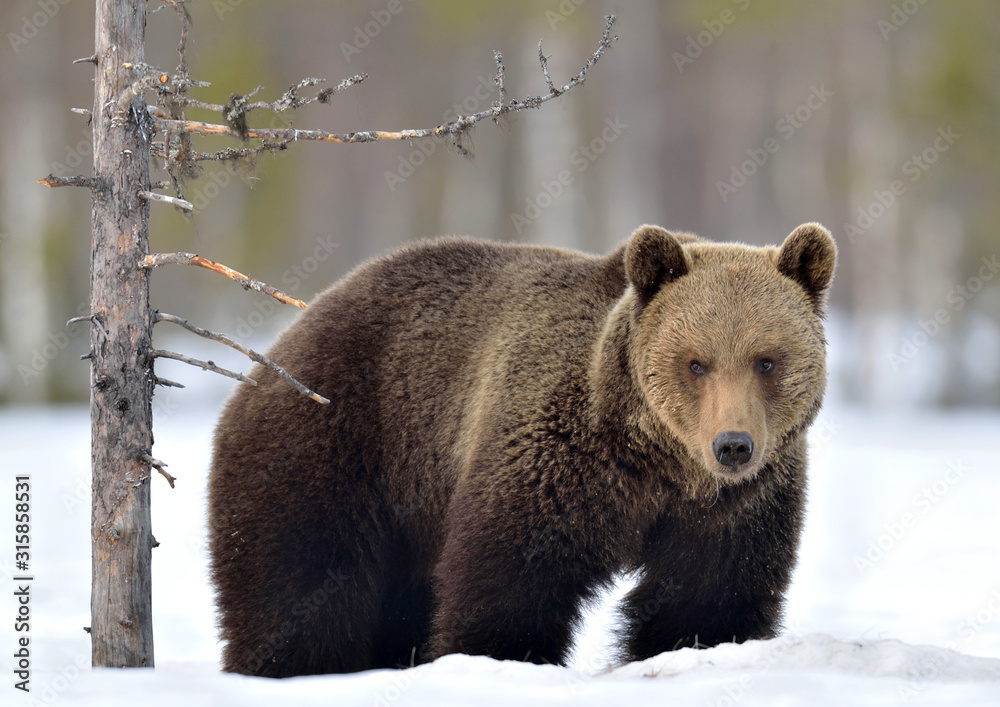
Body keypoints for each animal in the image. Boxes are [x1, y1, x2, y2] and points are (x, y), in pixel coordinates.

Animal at [208, 222, 837, 677]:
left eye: (767, 360)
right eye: (696, 362)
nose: (733, 446)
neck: (659, 465)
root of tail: (284, 341)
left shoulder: (736, 506)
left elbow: (711, 598)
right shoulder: (556, 455)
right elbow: (511, 578)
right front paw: (502, 657)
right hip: (336, 444)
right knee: (301, 585)